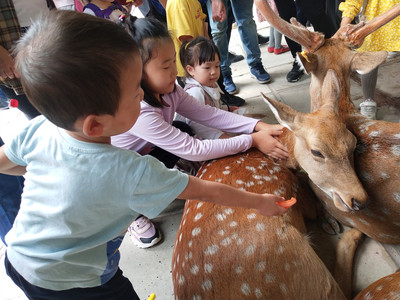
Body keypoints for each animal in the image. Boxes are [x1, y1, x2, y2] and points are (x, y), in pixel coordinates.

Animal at [172, 69, 366, 298]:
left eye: (354, 143)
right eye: (317, 152)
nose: (359, 200)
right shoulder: (292, 187)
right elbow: (310, 196)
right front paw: (328, 219)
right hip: (295, 262)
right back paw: (355, 232)